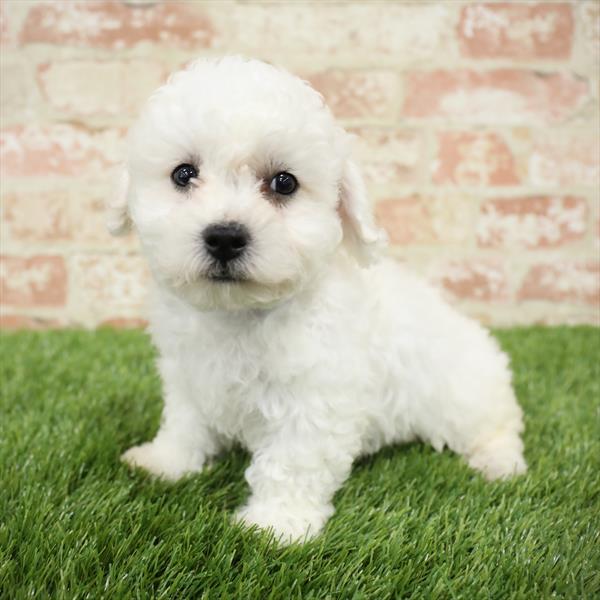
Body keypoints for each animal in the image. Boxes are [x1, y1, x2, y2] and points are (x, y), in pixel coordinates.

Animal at [110, 56, 528, 544]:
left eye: (284, 183)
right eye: (183, 173)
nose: (225, 236)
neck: (240, 313)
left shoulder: (316, 397)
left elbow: (292, 461)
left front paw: (275, 525)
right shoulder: (188, 375)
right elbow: (184, 424)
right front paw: (165, 462)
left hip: (465, 395)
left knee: (499, 426)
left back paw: (499, 462)